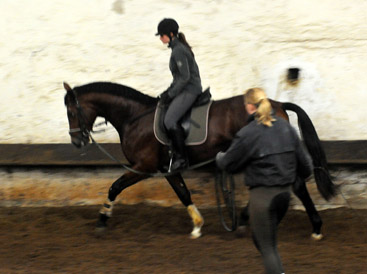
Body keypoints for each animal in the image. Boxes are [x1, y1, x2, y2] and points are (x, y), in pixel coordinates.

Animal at [63, 82, 336, 240]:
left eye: (71, 111)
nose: (77, 141)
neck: (135, 117)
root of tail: (275, 104)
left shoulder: (144, 167)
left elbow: (115, 187)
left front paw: (102, 219)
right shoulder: (167, 168)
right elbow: (183, 193)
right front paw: (197, 225)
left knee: (295, 185)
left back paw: (315, 227)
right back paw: (247, 220)